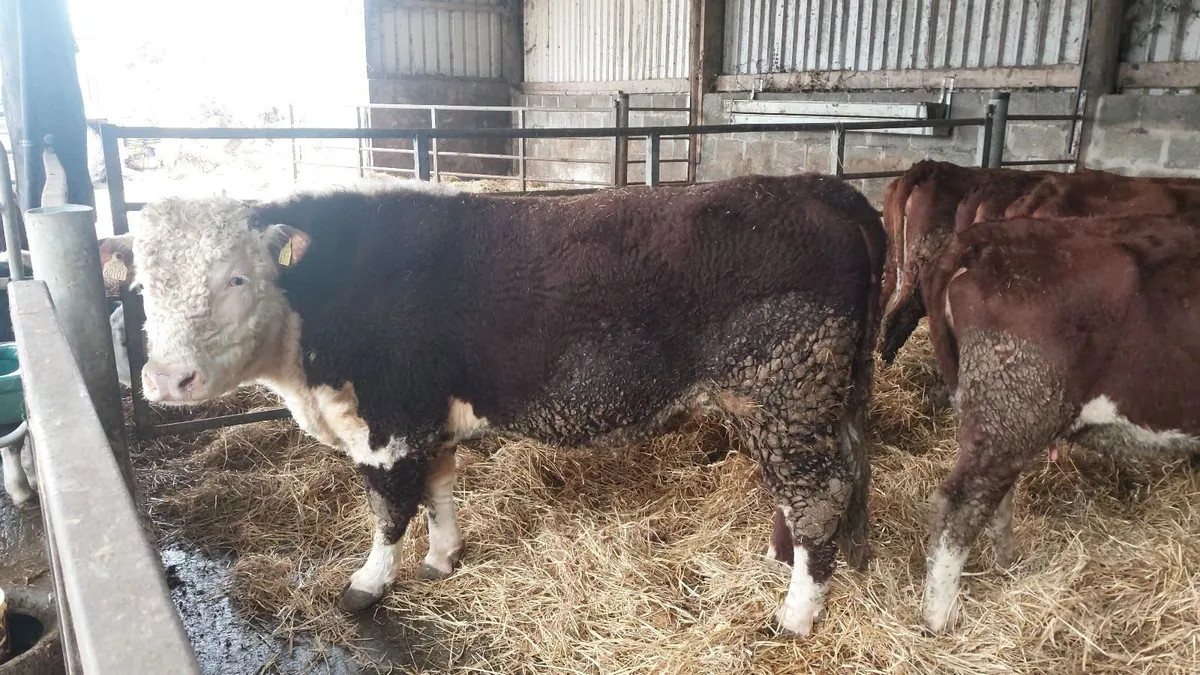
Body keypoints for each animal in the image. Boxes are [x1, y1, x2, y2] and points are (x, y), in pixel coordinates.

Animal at [101, 174, 886, 636]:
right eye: (142, 285)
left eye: (236, 277)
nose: (167, 379)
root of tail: (812, 187)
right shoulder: (427, 419)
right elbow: (440, 489)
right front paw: (443, 557)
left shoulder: (388, 421)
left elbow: (388, 509)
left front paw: (366, 585)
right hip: (825, 394)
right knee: (843, 473)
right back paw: (807, 558)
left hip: (783, 386)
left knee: (818, 491)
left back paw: (797, 612)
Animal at [916, 213, 1200, 634]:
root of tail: (986, 238)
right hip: (1015, 405)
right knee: (960, 503)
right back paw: (940, 617)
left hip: (999, 417)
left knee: (993, 496)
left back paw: (1008, 565)